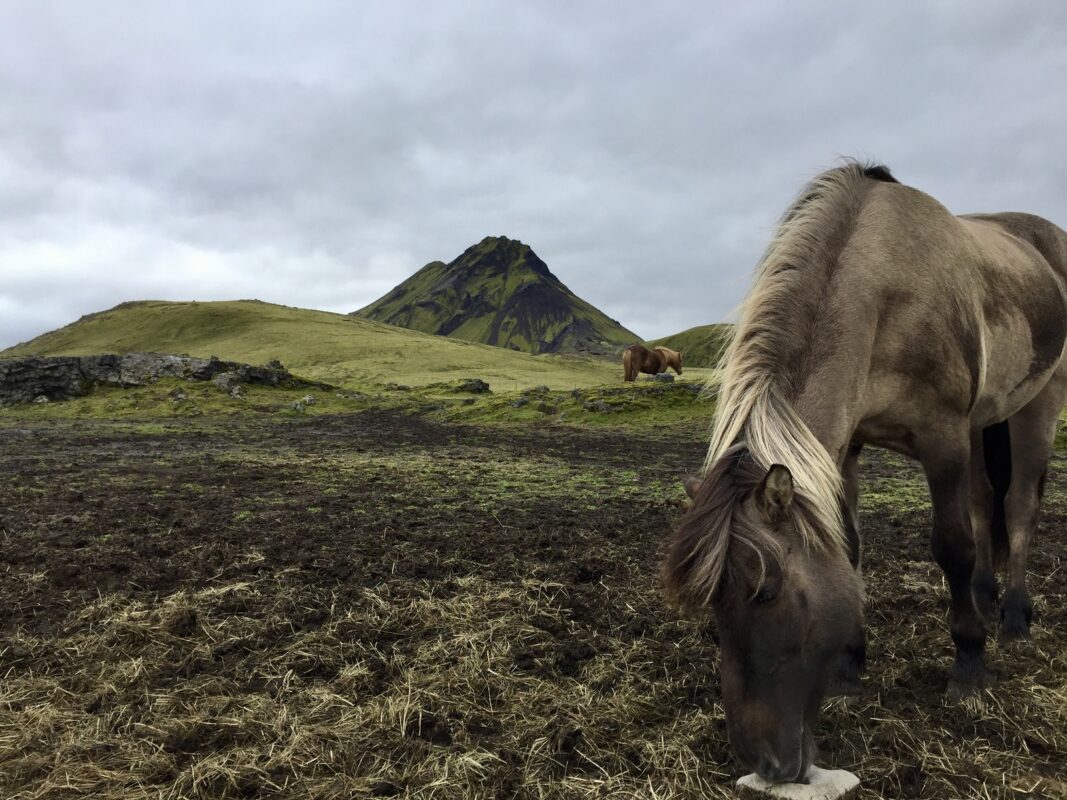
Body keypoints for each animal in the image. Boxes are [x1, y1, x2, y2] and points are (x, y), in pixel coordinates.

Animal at [657, 161, 1067, 785]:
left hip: (1036, 405)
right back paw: (985, 593)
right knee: (985, 502)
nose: (764, 762)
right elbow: (847, 545)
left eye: (768, 591)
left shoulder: (943, 438)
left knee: (1018, 506)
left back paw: (1014, 615)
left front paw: (969, 664)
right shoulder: (845, 448)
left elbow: (952, 546)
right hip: (984, 423)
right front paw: (851, 665)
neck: (886, 287)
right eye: (712, 605)